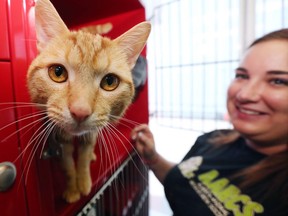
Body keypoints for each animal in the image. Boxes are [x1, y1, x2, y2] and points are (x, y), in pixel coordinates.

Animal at [27, 0, 151, 203]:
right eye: (58, 72)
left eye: (110, 82)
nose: (80, 111)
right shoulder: (61, 138)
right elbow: (68, 165)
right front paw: (72, 188)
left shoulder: (90, 134)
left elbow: (84, 159)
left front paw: (84, 182)